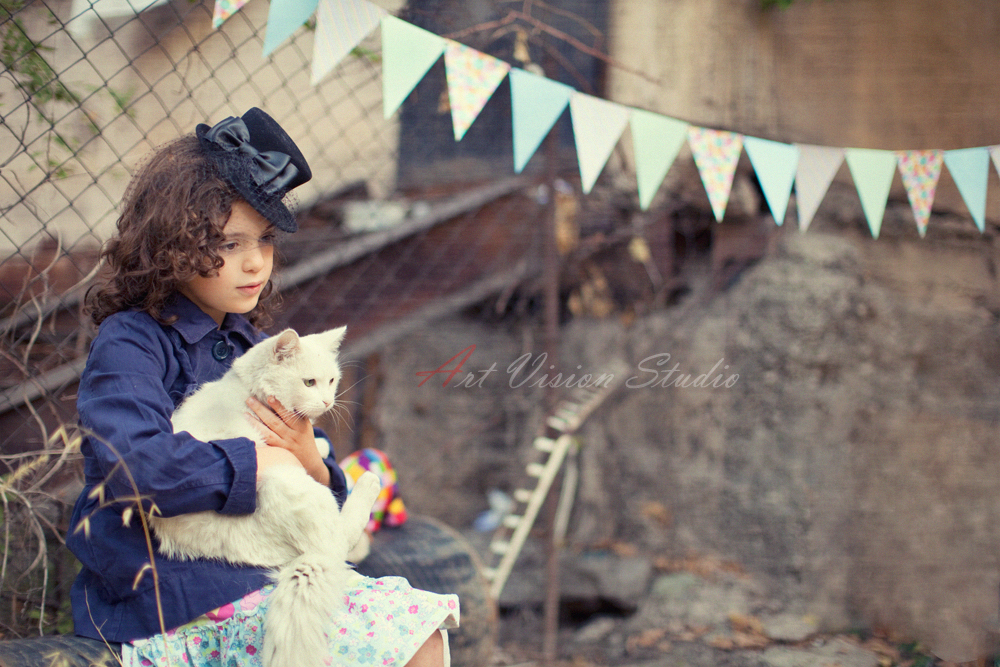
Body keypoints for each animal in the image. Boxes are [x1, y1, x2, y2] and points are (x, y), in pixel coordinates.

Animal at [150, 326, 380, 667]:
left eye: (331, 380)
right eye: (308, 383)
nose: (327, 402)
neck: (247, 389)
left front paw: (319, 446)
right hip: (298, 491)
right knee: (342, 539)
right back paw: (369, 482)